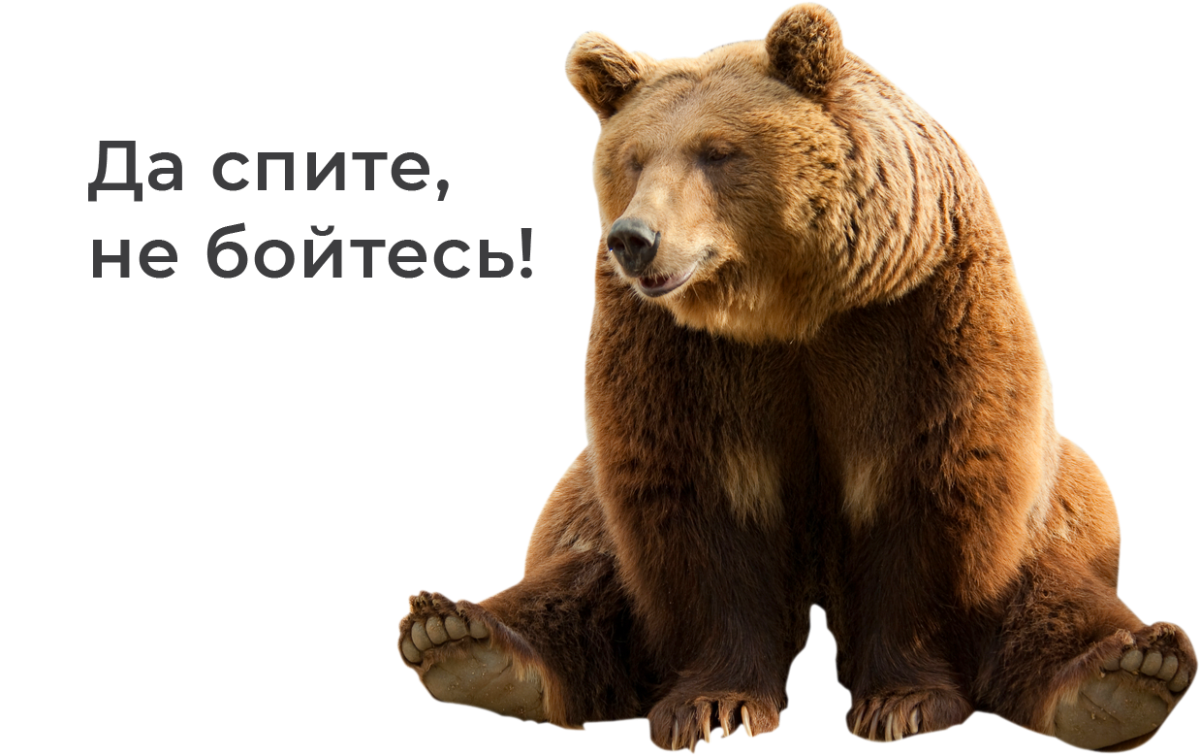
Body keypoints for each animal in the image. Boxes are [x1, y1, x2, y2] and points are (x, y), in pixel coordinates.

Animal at [397, 3, 1196, 753]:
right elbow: (703, 501)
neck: (787, 309)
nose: (634, 239)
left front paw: (903, 703)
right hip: (577, 513)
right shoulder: (681, 353)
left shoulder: (917, 317)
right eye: (632, 158)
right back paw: (459, 640)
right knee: (572, 588)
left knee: (1057, 604)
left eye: (717, 152)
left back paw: (1130, 673)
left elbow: (924, 485)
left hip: (1066, 521)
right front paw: (713, 707)